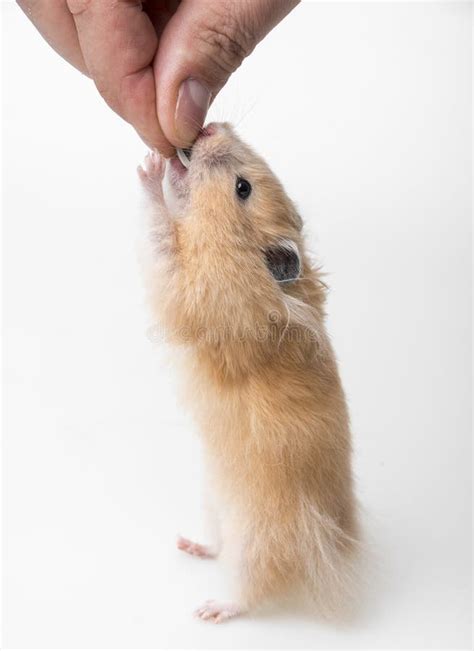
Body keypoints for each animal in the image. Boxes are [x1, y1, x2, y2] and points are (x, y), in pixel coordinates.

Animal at [138, 123, 361, 623]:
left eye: (243, 188)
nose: (209, 127)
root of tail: (329, 553)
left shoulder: (188, 290)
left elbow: (162, 234)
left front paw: (151, 167)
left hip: (256, 542)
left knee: (250, 589)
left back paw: (211, 609)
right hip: (212, 504)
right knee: (217, 547)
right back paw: (189, 545)